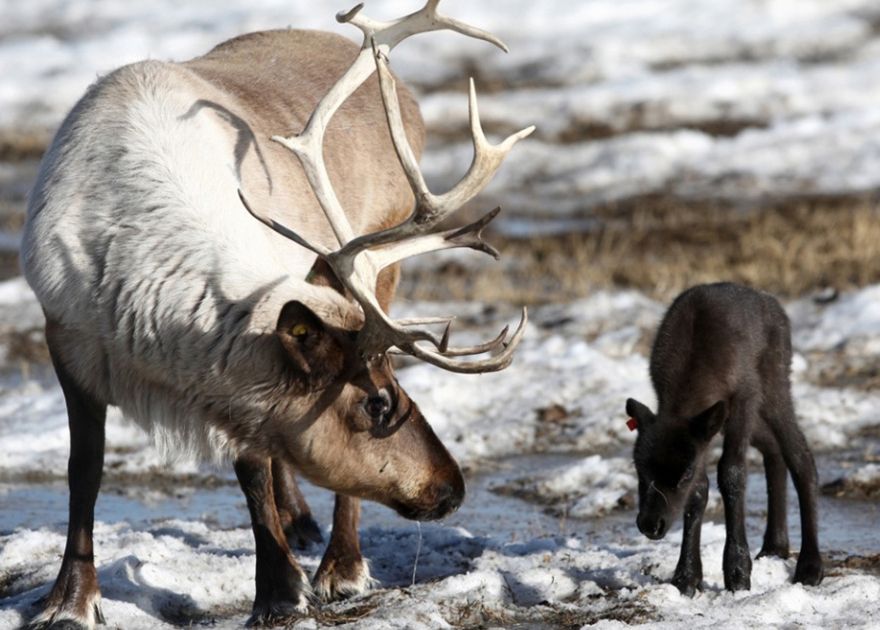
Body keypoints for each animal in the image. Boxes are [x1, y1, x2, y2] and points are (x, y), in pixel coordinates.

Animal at [624, 284, 824, 596]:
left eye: (683, 475)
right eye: (639, 470)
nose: (650, 525)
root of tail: (771, 302)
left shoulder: (744, 397)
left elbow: (732, 473)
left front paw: (738, 573)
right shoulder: (702, 432)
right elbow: (700, 490)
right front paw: (686, 578)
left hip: (775, 384)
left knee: (800, 456)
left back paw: (810, 566)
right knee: (773, 449)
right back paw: (775, 546)